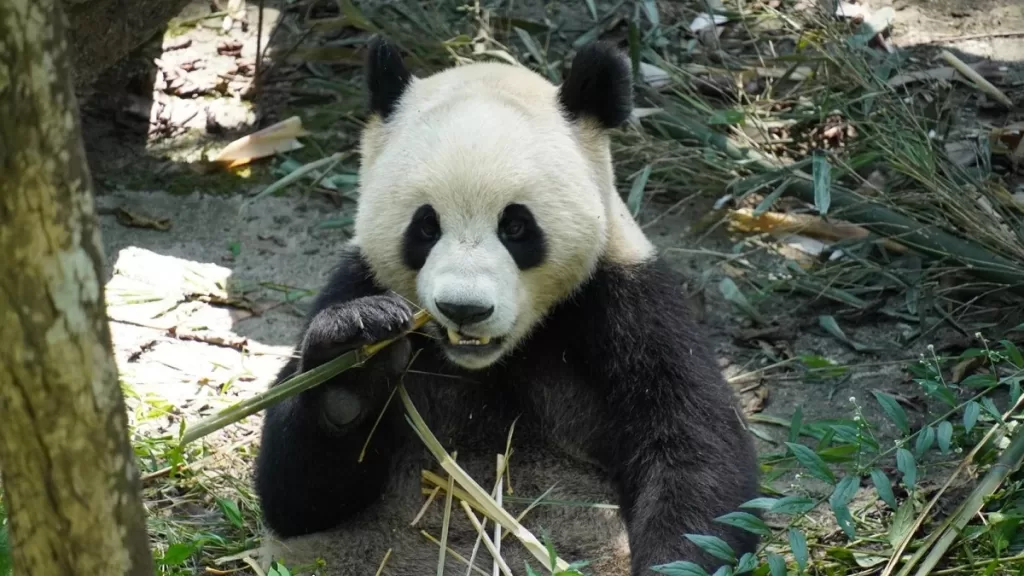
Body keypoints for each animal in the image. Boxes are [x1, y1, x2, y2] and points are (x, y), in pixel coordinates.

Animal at [253, 36, 761, 576]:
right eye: (425, 226)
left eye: (516, 226)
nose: (464, 309)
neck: (486, 361)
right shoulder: (357, 278)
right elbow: (299, 497)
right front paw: (355, 364)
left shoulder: (626, 302)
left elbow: (695, 449)